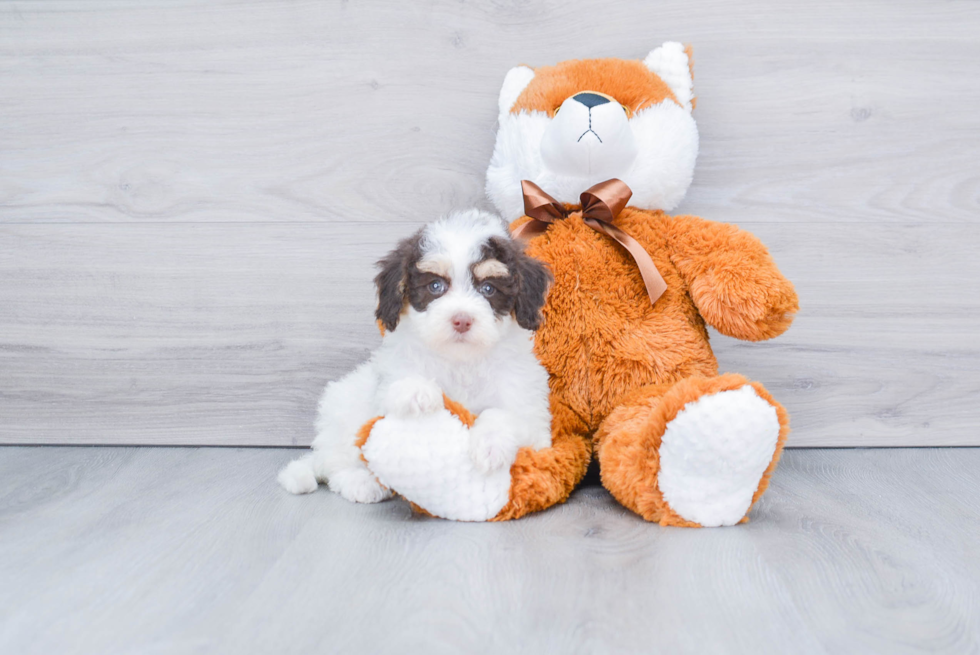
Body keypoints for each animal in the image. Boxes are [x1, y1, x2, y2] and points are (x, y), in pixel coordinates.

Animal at [280, 210, 556, 502]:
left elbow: (504, 415)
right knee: (337, 462)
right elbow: (401, 385)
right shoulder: (388, 383)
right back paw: (360, 481)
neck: (461, 361)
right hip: (343, 411)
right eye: (435, 286)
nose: (461, 320)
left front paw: (490, 446)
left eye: (489, 289)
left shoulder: (530, 415)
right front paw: (417, 391)